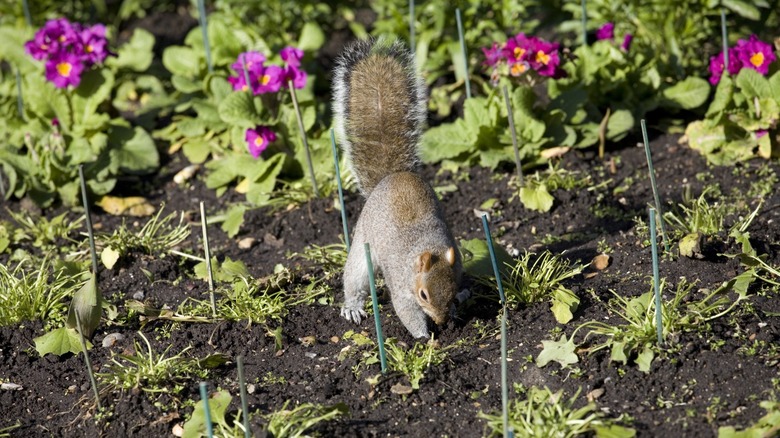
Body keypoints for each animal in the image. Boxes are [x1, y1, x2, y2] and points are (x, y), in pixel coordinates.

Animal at [330, 37, 464, 338]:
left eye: (452, 289)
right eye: (423, 295)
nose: (440, 321)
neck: (426, 247)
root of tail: (392, 176)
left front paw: (459, 305)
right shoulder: (401, 285)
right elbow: (406, 311)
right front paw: (424, 336)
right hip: (362, 249)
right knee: (354, 279)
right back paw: (352, 306)